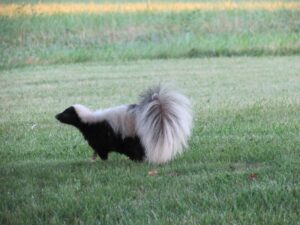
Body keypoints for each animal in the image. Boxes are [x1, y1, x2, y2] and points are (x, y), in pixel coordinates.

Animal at [55, 85, 192, 164]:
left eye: (65, 114)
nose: (56, 115)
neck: (88, 120)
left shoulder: (100, 135)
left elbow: (101, 149)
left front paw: (101, 160)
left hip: (131, 133)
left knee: (136, 148)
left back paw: (137, 159)